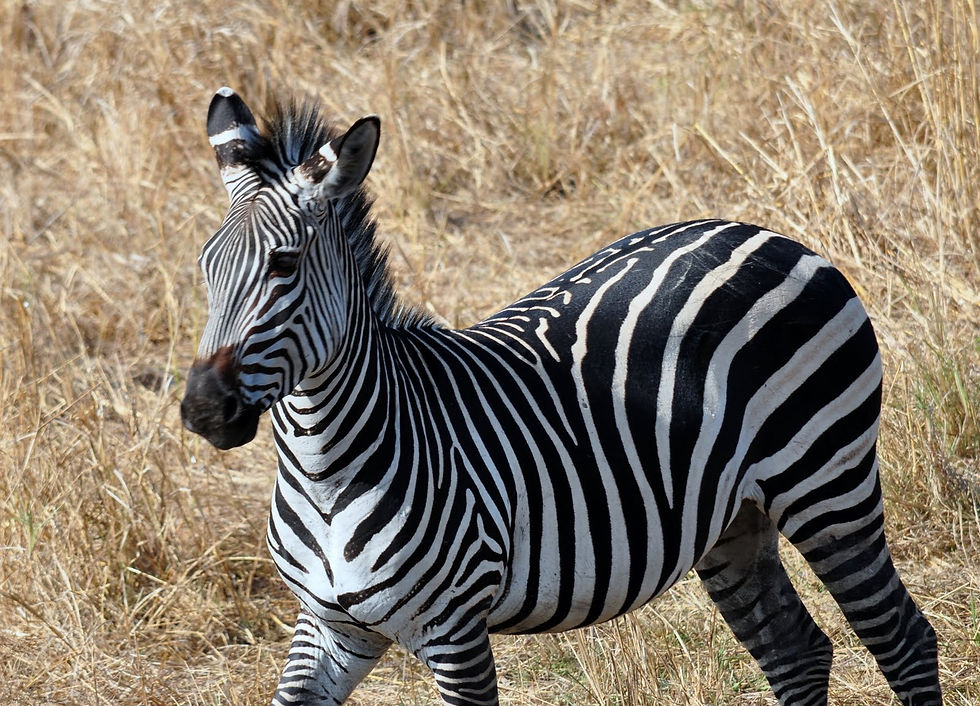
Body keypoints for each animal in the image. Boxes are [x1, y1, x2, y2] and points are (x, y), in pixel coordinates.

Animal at [180, 87, 942, 706]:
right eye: (205, 265)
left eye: (283, 265)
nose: (202, 409)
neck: (325, 469)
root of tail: (768, 234)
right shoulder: (329, 627)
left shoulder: (454, 629)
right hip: (735, 517)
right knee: (796, 651)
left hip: (828, 484)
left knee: (903, 638)